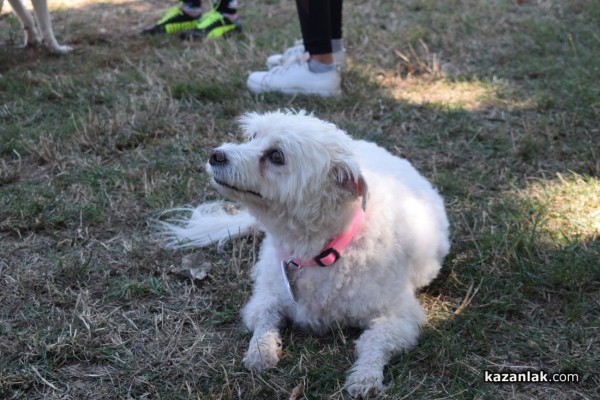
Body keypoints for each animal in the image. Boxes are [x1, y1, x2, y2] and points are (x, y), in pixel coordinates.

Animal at [159, 109, 450, 396]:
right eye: (252, 137)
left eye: (276, 156)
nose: (216, 154)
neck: (321, 250)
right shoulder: (266, 297)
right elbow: (263, 321)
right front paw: (261, 351)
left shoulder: (401, 317)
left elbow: (374, 341)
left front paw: (365, 375)